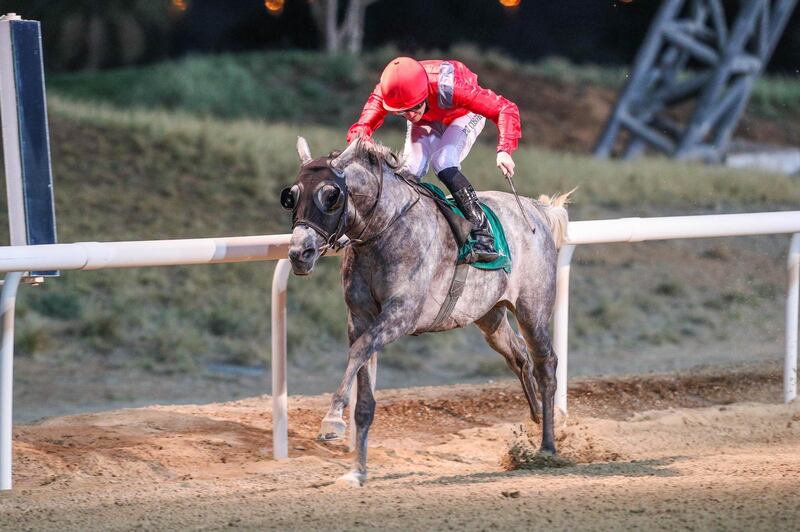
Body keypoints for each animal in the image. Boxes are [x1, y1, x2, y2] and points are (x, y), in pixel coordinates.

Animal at [282, 137, 568, 486]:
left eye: (330, 196)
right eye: (292, 196)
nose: (300, 253)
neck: (385, 228)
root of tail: (537, 209)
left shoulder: (402, 314)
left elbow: (360, 351)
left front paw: (332, 421)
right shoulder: (360, 318)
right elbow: (363, 387)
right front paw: (357, 471)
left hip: (532, 308)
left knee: (546, 364)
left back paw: (548, 446)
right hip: (489, 316)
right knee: (518, 356)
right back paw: (537, 415)